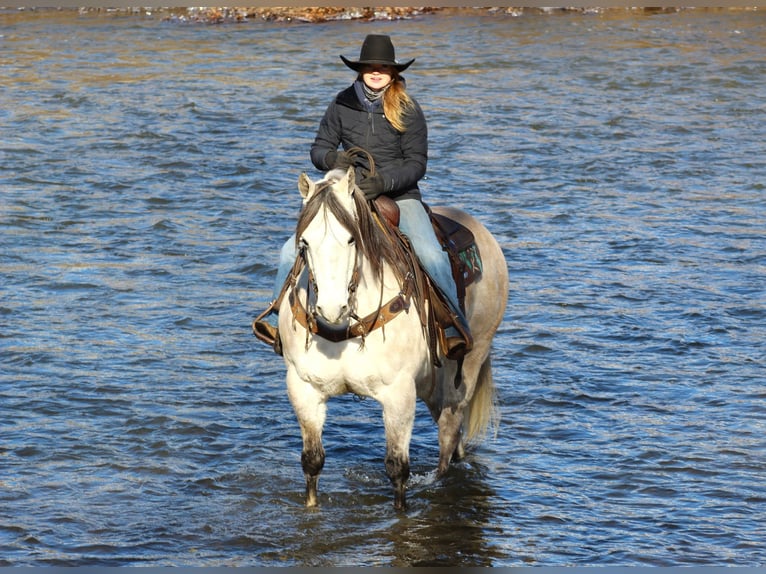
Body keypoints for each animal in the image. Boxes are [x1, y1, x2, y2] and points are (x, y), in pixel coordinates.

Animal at [272, 168, 508, 512]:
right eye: (304, 241)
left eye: (351, 238)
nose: (330, 308)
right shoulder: (304, 388)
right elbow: (312, 462)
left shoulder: (398, 393)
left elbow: (397, 469)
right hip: (432, 384)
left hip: (467, 367)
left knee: (448, 435)